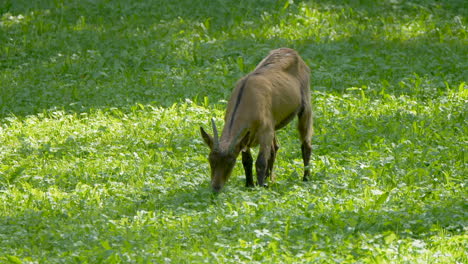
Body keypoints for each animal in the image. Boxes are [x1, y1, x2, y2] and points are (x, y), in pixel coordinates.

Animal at [199, 48, 312, 192]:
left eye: (231, 162)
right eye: (210, 160)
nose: (216, 187)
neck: (247, 99)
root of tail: (292, 51)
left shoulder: (265, 132)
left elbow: (260, 162)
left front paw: (259, 188)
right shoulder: (246, 137)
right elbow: (247, 160)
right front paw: (250, 184)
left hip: (305, 106)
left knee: (305, 145)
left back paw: (305, 178)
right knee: (275, 148)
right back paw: (269, 179)